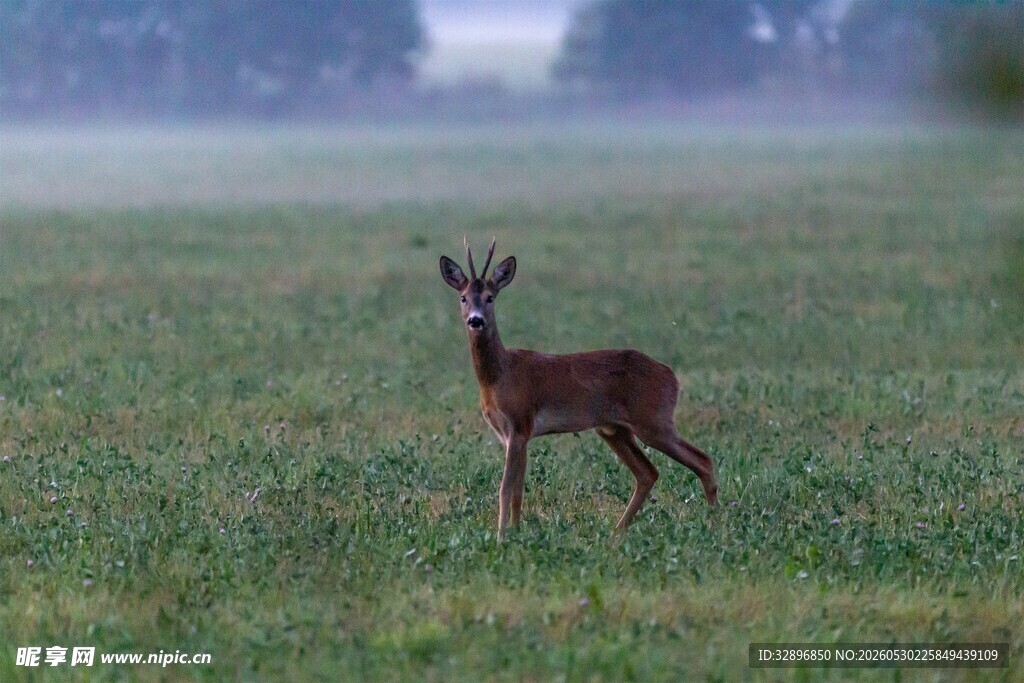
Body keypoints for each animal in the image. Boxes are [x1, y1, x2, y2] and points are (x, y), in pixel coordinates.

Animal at [440, 239, 719, 541]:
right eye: (463, 297)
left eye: (490, 297)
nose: (475, 320)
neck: (499, 376)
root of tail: (672, 377)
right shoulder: (514, 434)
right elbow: (517, 490)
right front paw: (515, 532)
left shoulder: (520, 423)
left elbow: (505, 489)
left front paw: (502, 536)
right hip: (614, 429)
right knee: (648, 473)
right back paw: (617, 531)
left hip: (654, 421)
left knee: (703, 460)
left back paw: (715, 522)